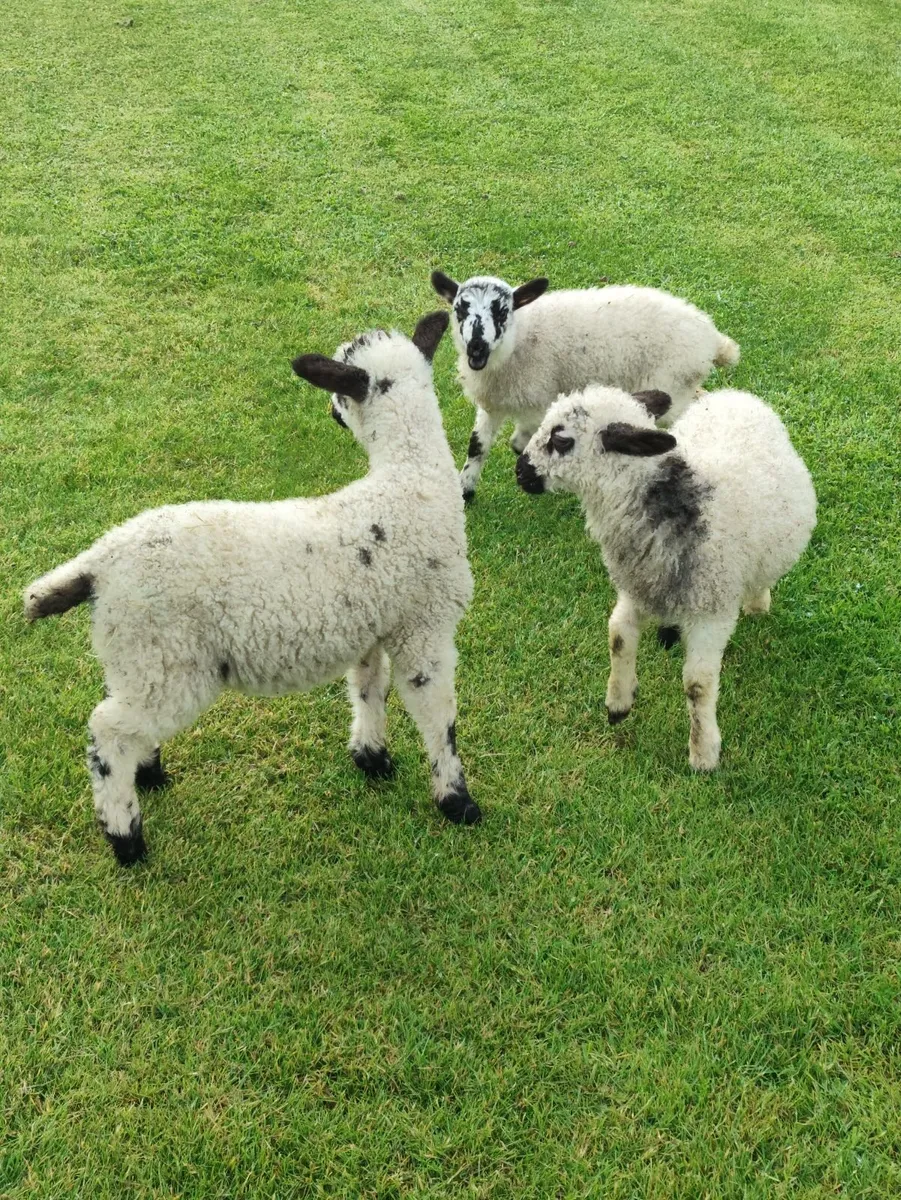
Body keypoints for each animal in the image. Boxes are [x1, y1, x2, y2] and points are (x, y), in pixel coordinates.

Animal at [23, 311, 482, 866]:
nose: (330, 411)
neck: (409, 482)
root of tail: (99, 563)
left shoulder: (374, 625)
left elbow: (369, 689)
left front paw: (372, 758)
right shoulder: (425, 626)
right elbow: (439, 716)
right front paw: (457, 801)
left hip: (137, 654)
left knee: (123, 719)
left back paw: (148, 774)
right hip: (169, 658)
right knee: (107, 732)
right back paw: (126, 837)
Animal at [430, 270, 740, 503]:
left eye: (502, 311)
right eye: (459, 310)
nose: (476, 346)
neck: (519, 340)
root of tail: (713, 339)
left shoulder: (537, 400)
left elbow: (519, 442)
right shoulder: (493, 403)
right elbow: (478, 445)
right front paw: (466, 488)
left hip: (671, 384)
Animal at [515, 386, 816, 771]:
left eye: (561, 439)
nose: (520, 471)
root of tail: (734, 394)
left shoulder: (712, 610)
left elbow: (698, 685)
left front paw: (703, 754)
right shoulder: (637, 587)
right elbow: (618, 636)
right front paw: (619, 704)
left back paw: (757, 605)